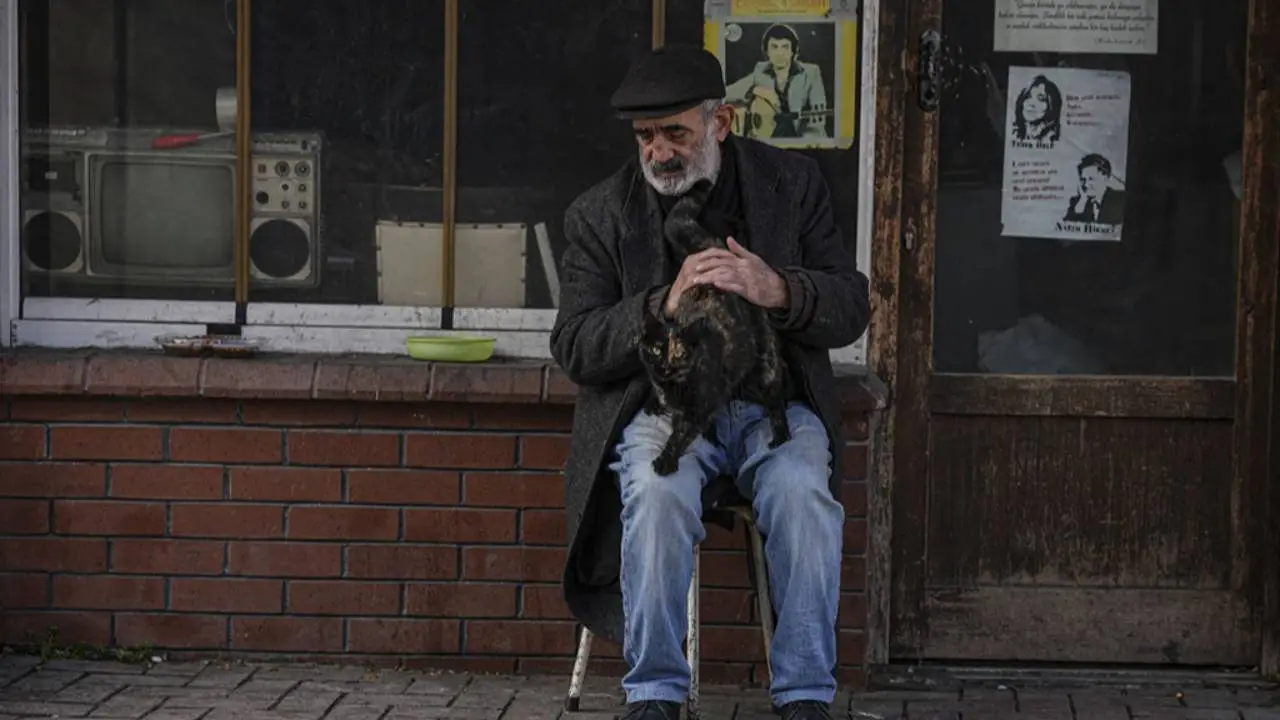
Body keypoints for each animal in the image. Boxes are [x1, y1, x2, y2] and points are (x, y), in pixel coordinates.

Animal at [640, 178, 788, 476]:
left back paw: (781, 435)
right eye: (656, 349)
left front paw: (666, 461)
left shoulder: (700, 407)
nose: (665, 367)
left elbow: (681, 434)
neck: (671, 388)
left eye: (680, 353)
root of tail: (710, 247)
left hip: (763, 369)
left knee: (776, 398)